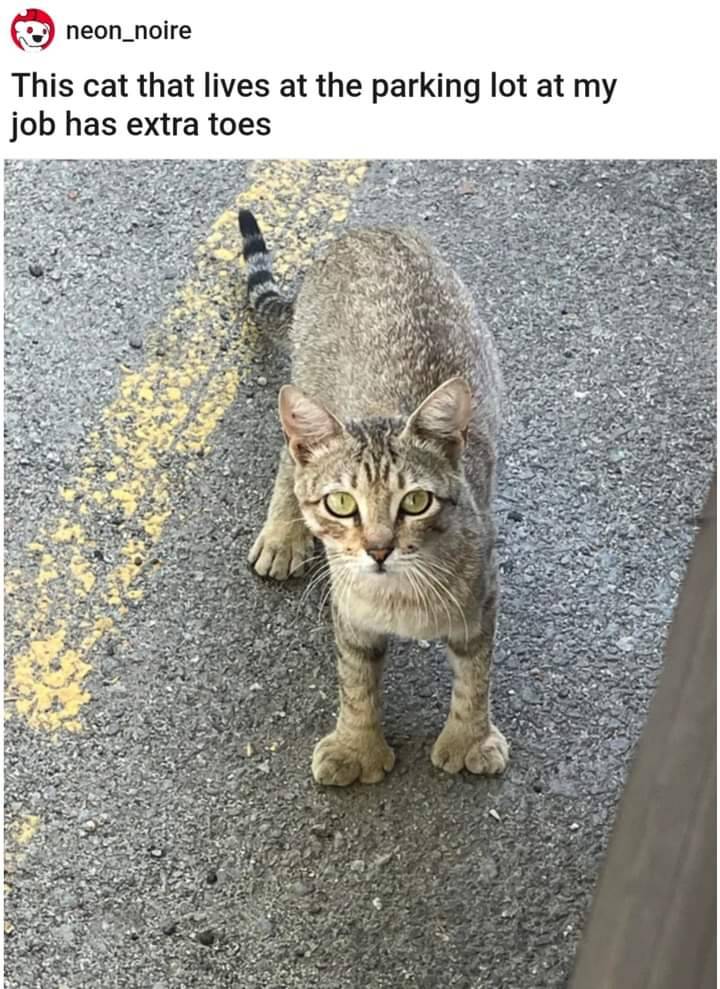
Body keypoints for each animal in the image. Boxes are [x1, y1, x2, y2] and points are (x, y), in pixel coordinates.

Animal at [239, 208, 509, 786]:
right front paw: (356, 746)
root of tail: (366, 230)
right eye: (342, 504)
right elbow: (356, 683)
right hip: (306, 383)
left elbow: (475, 677)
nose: (379, 548)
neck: (401, 595)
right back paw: (282, 534)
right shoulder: (352, 615)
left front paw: (469, 738)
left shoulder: (482, 601)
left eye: (416, 502)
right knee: (288, 458)